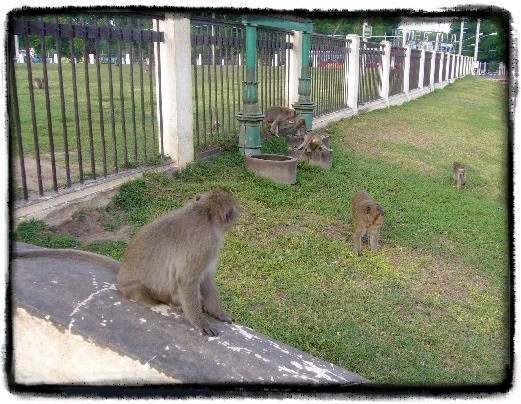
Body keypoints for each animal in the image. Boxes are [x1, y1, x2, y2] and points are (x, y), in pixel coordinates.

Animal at [116, 188, 240, 336]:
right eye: (234, 209)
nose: (239, 213)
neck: (204, 212)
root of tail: (119, 283)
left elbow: (206, 278)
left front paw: (219, 313)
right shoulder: (207, 245)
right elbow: (187, 280)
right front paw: (199, 321)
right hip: (137, 290)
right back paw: (172, 303)